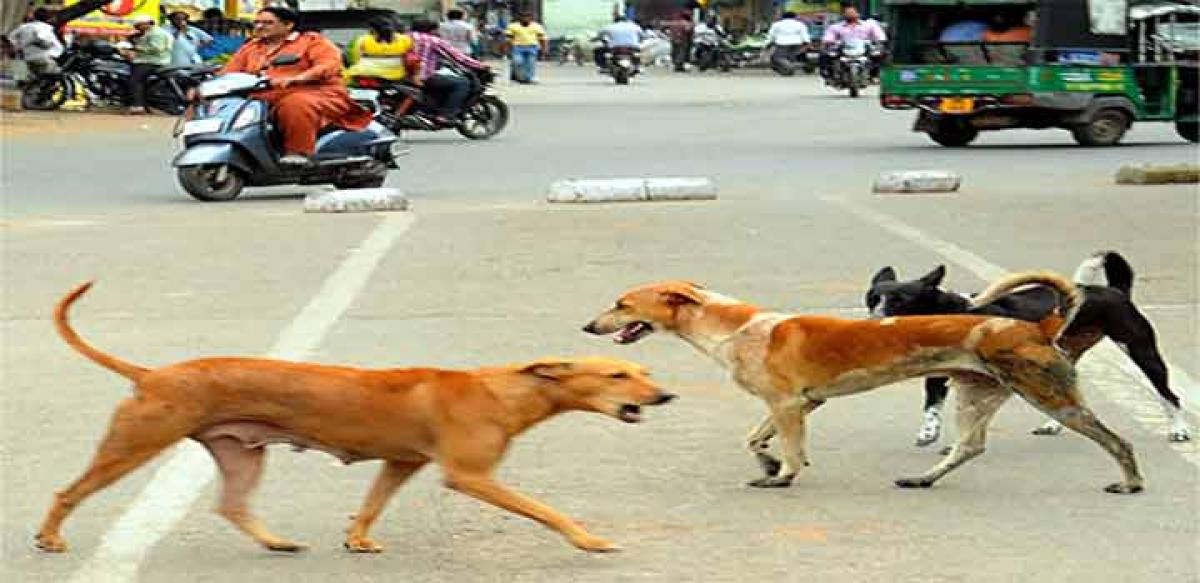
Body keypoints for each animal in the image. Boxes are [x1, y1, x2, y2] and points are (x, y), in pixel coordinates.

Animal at [35, 281, 676, 556]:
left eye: (640, 370)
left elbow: (370, 504)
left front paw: (358, 538)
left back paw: (275, 541)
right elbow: (545, 510)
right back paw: (49, 536)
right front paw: (587, 539)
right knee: (68, 491)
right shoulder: (469, 477)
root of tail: (153, 373)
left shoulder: (400, 463)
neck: (504, 389)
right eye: (618, 375)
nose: (665, 396)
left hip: (242, 453)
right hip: (133, 444)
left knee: (232, 505)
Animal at [585, 275, 1147, 494]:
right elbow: (755, 439)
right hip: (975, 394)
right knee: (968, 447)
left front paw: (782, 475)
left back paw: (1130, 482)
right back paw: (924, 479)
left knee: (1116, 440)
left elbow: (789, 451)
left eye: (621, 303)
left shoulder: (787, 405)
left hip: (1051, 397)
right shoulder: (799, 404)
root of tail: (1036, 326)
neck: (738, 329)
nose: (588, 327)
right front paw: (768, 463)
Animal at [864, 248, 1190, 443]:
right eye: (871, 299)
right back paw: (1053, 424)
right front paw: (930, 432)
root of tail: (1115, 290)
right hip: (1061, 356)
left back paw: (1179, 430)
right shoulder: (941, 373)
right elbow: (932, 404)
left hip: (1141, 350)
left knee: (1168, 395)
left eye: (900, 301)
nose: (871, 320)